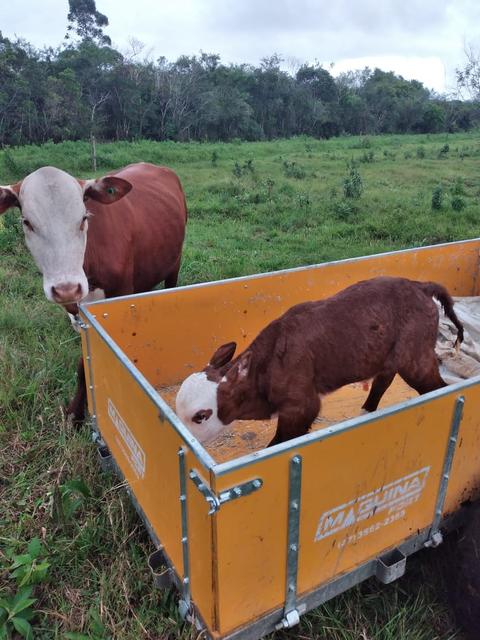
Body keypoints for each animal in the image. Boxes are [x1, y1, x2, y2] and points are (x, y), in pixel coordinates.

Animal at [0, 161, 188, 420]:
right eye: (27, 222)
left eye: (83, 218)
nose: (66, 288)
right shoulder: (78, 312)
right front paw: (75, 412)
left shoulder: (119, 295)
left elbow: (84, 363)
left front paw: (77, 411)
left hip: (174, 264)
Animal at [177, 276, 464, 444]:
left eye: (201, 416)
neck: (265, 368)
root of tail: (420, 286)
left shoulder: (301, 405)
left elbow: (280, 441)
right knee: (384, 378)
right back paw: (365, 411)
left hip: (416, 359)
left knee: (438, 387)